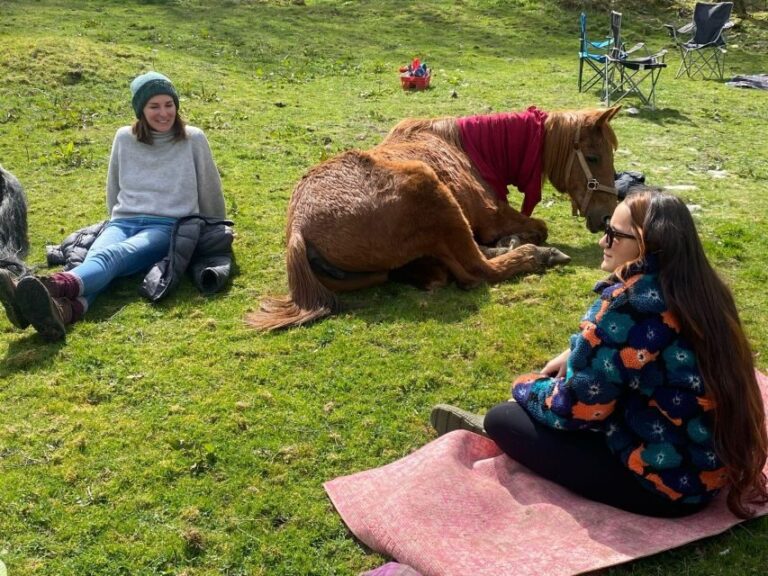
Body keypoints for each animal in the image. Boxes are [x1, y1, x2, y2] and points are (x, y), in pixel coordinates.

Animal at [248, 105, 621, 331]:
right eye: (593, 156)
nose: (607, 216)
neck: (470, 151)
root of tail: (299, 229)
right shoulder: (494, 217)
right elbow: (539, 228)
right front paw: (524, 242)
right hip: (432, 191)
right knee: (476, 271)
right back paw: (535, 255)